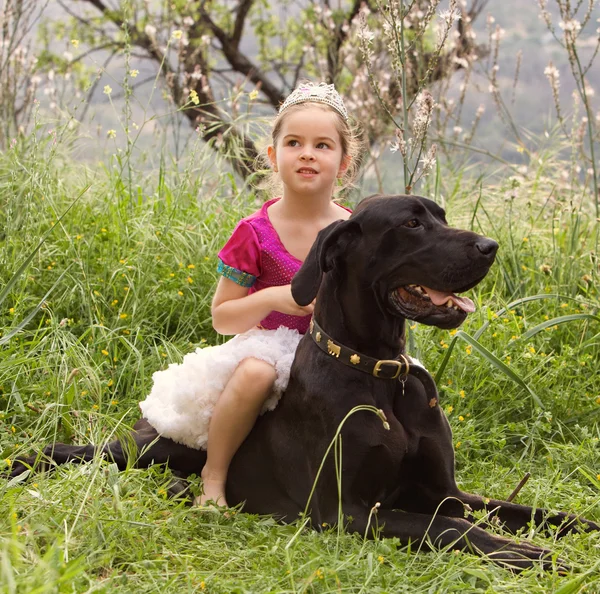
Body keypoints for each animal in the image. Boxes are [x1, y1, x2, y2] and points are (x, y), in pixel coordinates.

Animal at [10, 195, 600, 568]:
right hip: (153, 446)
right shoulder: (346, 512)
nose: (490, 246)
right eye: (411, 225)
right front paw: (521, 553)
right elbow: (449, 529)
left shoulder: (445, 492)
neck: (380, 374)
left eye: (441, 217)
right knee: (97, 453)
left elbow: (532, 512)